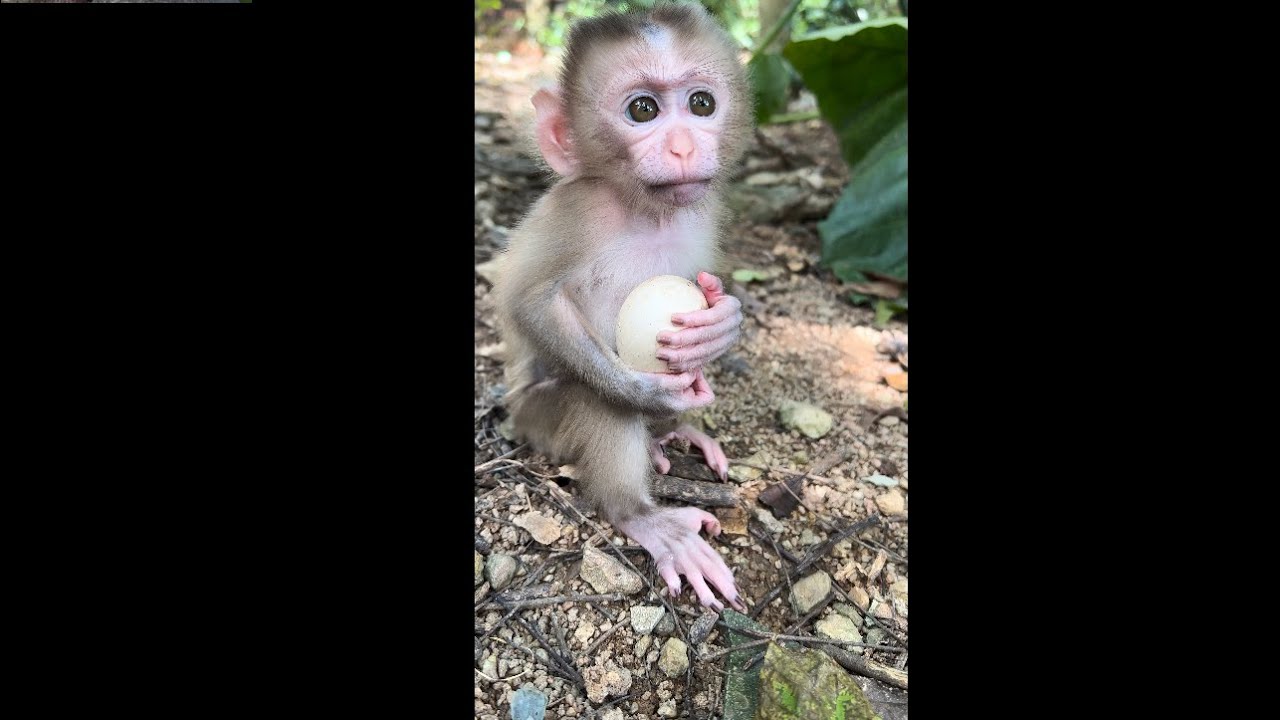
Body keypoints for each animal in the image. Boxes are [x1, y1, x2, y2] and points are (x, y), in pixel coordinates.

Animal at [492, 2, 752, 612]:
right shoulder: (576, 210)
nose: (683, 147)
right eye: (643, 110)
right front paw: (644, 392)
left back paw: (671, 435)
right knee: (594, 400)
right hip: (536, 420)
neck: (644, 211)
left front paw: (722, 322)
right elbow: (531, 304)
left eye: (701, 104)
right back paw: (644, 516)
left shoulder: (703, 214)